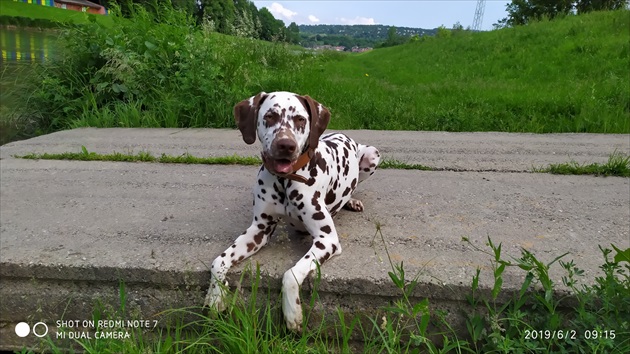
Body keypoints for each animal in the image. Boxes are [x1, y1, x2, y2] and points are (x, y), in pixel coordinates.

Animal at [205, 91, 380, 332]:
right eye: (270, 116)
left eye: (299, 119)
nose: (285, 145)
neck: (285, 180)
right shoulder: (258, 231)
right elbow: (218, 262)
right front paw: (214, 298)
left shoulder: (326, 239)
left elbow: (291, 274)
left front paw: (292, 313)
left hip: (372, 154)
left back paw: (351, 201)